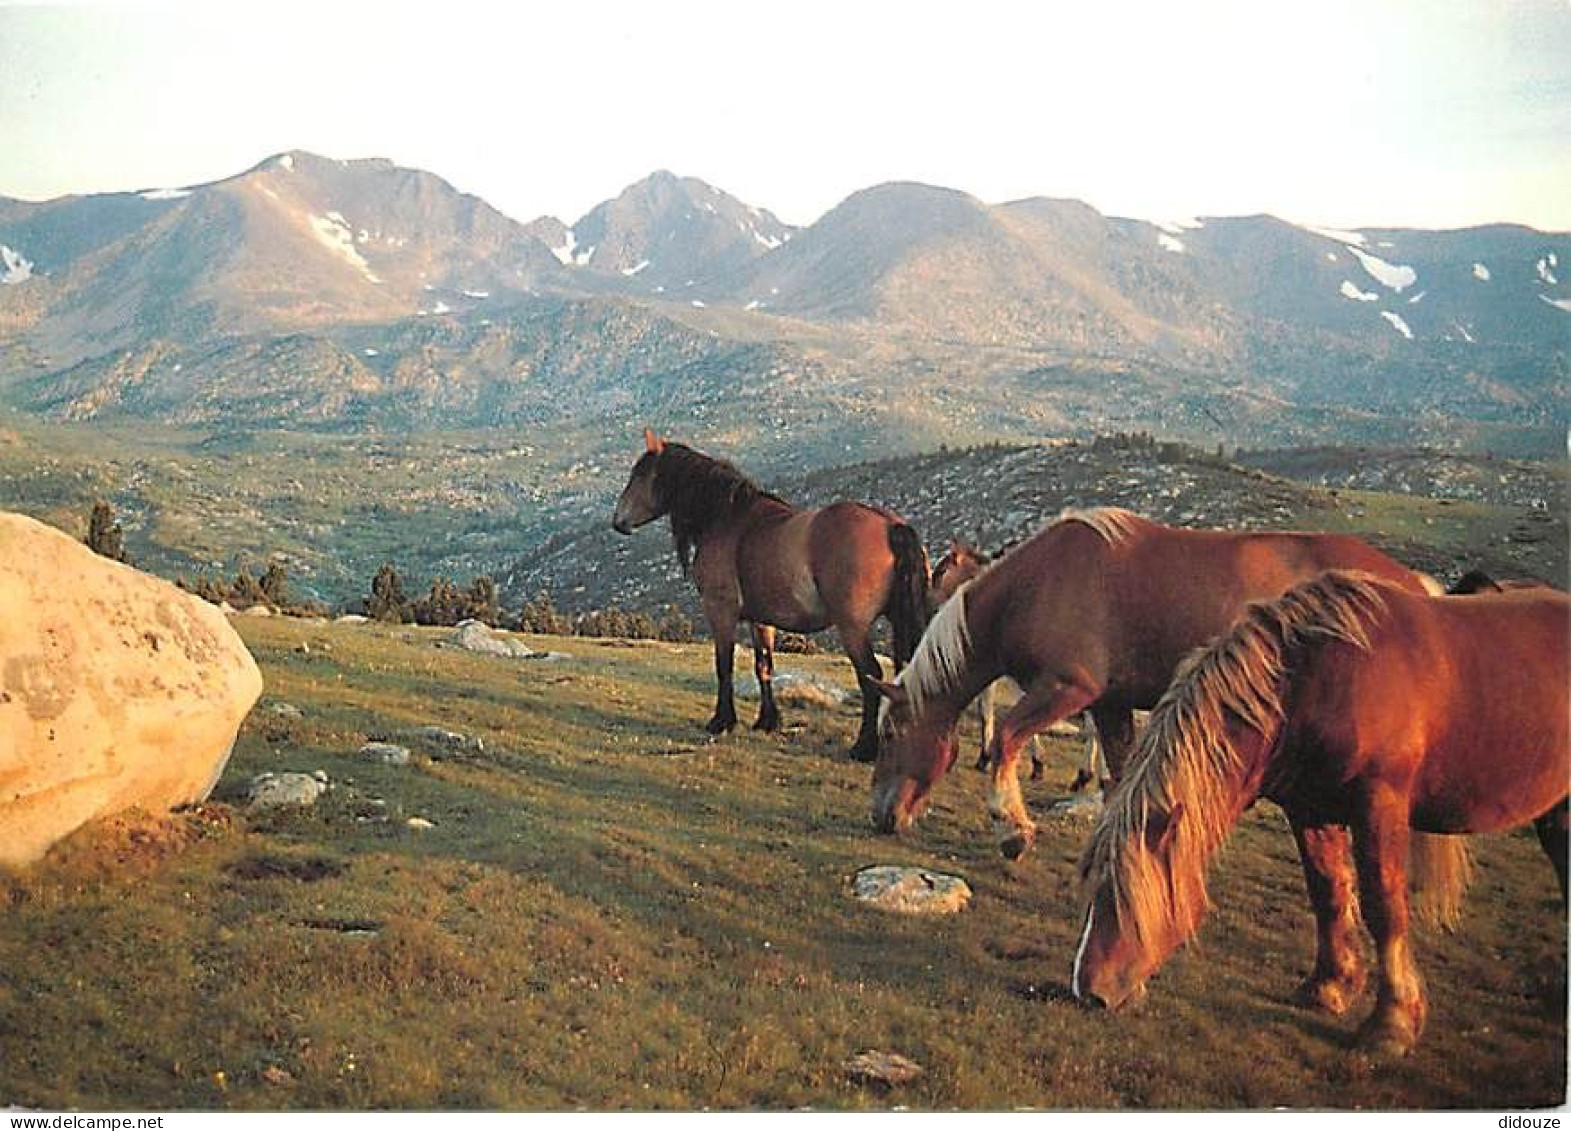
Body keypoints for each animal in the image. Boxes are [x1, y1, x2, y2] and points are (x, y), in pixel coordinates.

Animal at [609, 427, 930, 763]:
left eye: (639, 474)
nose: (617, 521)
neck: (727, 518)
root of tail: (891, 526)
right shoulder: (760, 620)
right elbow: (763, 666)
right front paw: (767, 721)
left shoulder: (720, 610)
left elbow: (724, 664)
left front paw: (721, 721)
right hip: (897, 621)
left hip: (852, 628)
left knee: (870, 675)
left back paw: (864, 747)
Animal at [873, 505, 1439, 854]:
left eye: (889, 734)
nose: (880, 818)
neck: (1036, 584)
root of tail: (1417, 586)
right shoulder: (1109, 704)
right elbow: (1118, 776)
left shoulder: (1066, 689)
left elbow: (1008, 737)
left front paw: (1012, 830)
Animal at [1074, 574, 1564, 1061]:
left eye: (1119, 889)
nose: (1086, 990)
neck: (1311, 683)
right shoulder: (1309, 809)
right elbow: (1327, 891)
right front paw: (1329, 988)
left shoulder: (1379, 804)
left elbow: (1384, 907)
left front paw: (1392, 1023)